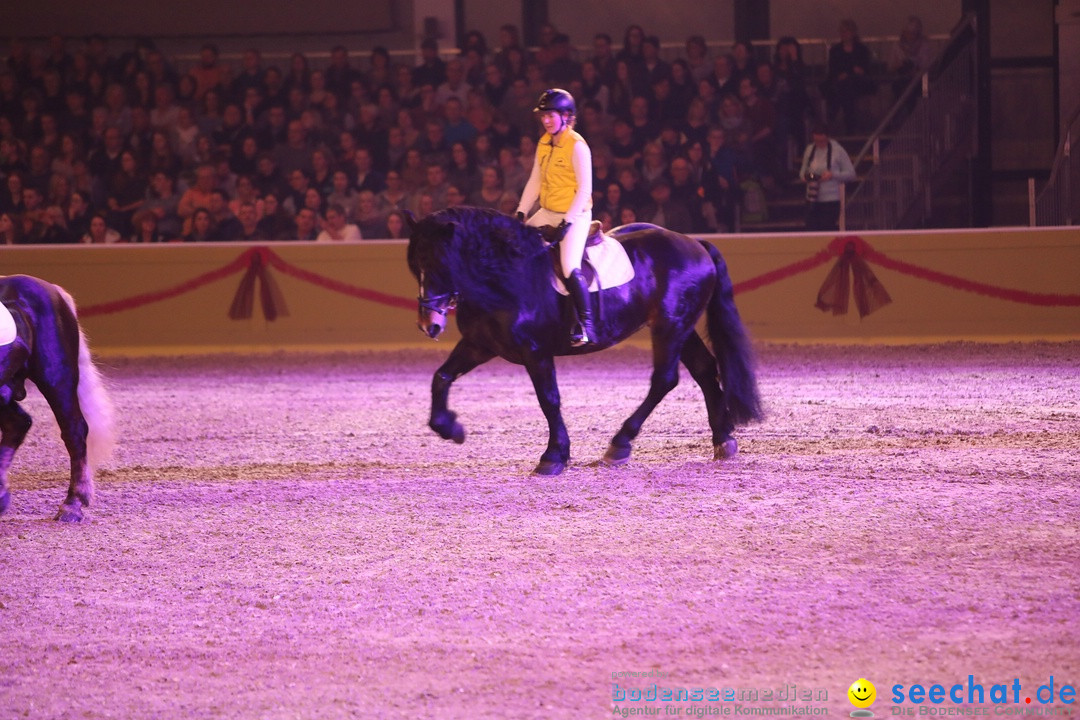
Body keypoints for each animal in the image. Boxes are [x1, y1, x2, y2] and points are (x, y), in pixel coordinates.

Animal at [406, 208, 760, 474]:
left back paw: (620, 444)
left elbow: (549, 400)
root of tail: (694, 242)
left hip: (671, 326)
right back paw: (723, 440)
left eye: (440, 264)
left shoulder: (535, 352)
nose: (429, 325)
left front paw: (553, 457)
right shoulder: (480, 345)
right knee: (704, 369)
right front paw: (449, 428)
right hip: (679, 327)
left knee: (665, 379)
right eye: (414, 266)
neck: (506, 276)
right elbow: (441, 377)